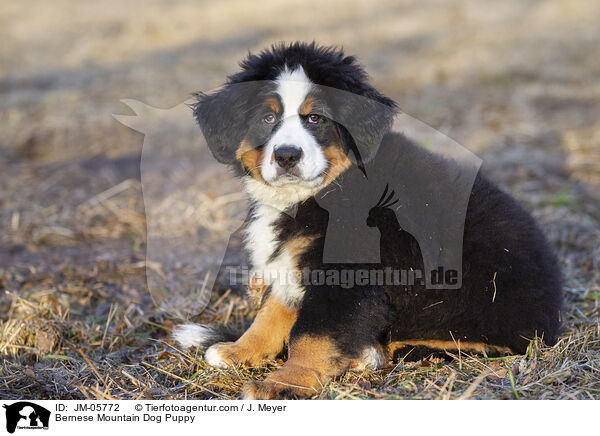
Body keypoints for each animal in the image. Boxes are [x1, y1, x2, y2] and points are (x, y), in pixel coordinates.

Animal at [172, 42, 564, 400]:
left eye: (315, 119)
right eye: (267, 119)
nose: (286, 156)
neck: (319, 193)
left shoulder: (347, 276)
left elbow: (312, 334)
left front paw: (285, 383)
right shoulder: (294, 263)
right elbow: (272, 311)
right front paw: (241, 350)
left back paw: (369, 355)